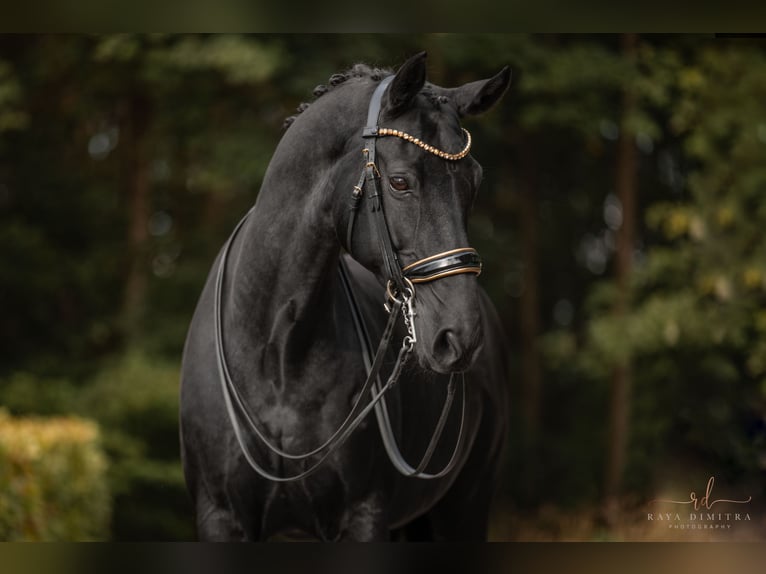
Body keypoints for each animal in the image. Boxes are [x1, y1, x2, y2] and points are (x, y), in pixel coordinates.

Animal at [181, 51, 512, 544]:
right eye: (399, 182)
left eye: (473, 182)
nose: (460, 335)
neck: (277, 349)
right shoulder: (220, 516)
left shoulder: (362, 516)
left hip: (464, 507)